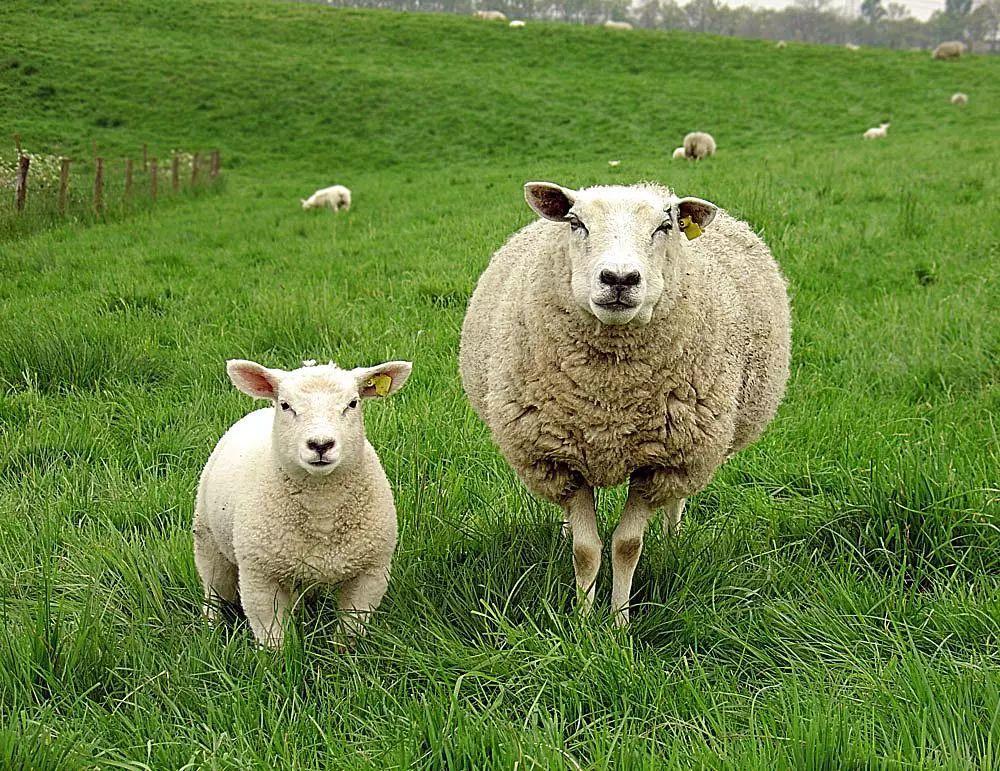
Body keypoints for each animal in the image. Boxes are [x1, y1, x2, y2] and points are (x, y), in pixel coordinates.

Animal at [193, 358, 413, 648]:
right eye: (286, 405)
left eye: (353, 403)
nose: (320, 444)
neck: (322, 508)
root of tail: (260, 411)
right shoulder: (259, 576)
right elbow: (273, 637)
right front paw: (278, 658)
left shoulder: (371, 572)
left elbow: (351, 630)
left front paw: (343, 654)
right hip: (207, 540)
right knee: (212, 593)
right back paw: (210, 630)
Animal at [459, 181, 791, 625]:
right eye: (576, 223)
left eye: (665, 226)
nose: (619, 278)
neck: (610, 402)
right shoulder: (561, 461)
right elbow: (586, 550)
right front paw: (583, 623)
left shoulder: (661, 464)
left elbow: (626, 546)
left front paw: (618, 624)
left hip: (692, 450)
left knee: (676, 502)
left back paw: (672, 538)